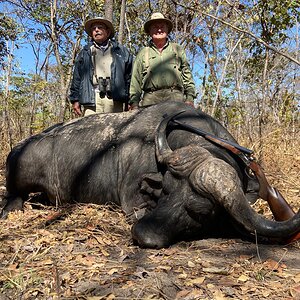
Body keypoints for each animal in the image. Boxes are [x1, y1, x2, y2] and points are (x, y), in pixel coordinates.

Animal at [0, 102, 300, 247]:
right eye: (165, 192)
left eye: (201, 212)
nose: (143, 234)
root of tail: (17, 149)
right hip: (18, 181)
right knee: (14, 195)